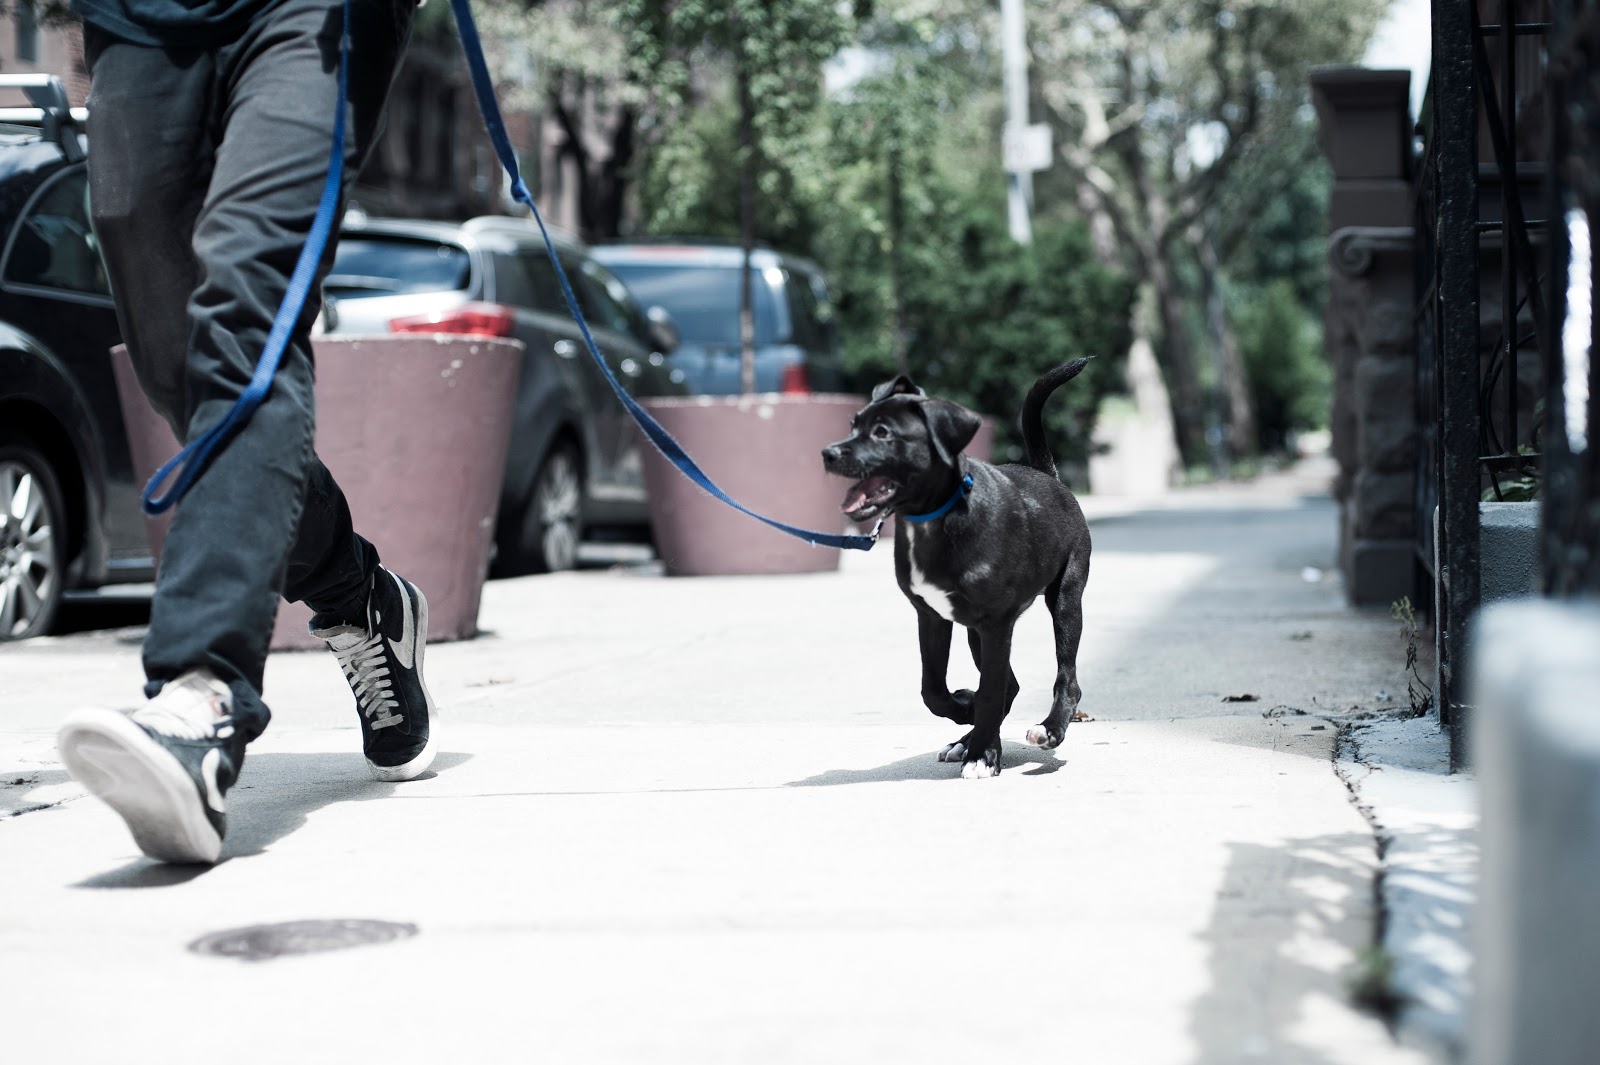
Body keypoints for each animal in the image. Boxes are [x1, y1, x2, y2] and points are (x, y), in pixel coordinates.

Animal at [825, 356, 1088, 770]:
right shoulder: (932, 616)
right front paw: (967, 717)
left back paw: (1048, 730)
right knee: (1009, 685)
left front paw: (984, 754)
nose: (829, 453)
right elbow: (933, 689)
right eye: (853, 424)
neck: (936, 519)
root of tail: (1048, 476)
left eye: (883, 432)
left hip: (1065, 600)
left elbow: (990, 689)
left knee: (1066, 678)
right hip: (973, 631)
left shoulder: (996, 623)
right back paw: (967, 739)